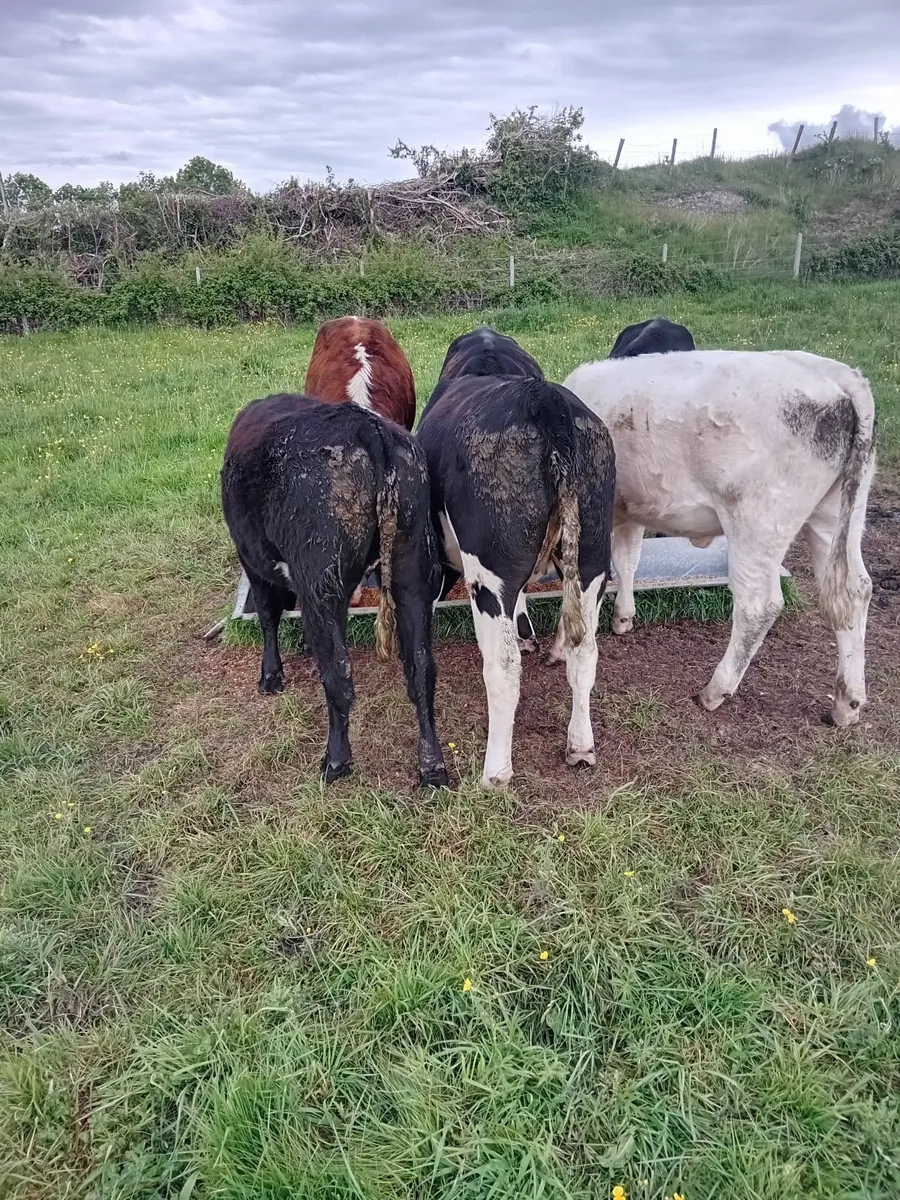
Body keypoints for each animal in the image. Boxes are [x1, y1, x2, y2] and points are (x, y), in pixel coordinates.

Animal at [221, 393, 448, 788]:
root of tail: (365, 426)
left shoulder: (254, 560)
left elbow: (267, 615)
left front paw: (271, 676)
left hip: (321, 580)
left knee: (339, 674)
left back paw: (337, 761)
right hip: (412, 568)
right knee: (421, 667)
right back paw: (432, 766)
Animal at [417, 327, 616, 787]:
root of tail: (547, 403)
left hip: (490, 575)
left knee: (503, 668)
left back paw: (495, 770)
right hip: (592, 558)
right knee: (586, 650)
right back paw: (581, 746)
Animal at [561, 349, 876, 727]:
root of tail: (836, 378)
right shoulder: (629, 510)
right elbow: (627, 561)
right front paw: (623, 617)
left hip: (757, 523)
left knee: (758, 606)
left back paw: (715, 690)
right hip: (836, 517)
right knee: (852, 592)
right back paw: (847, 702)